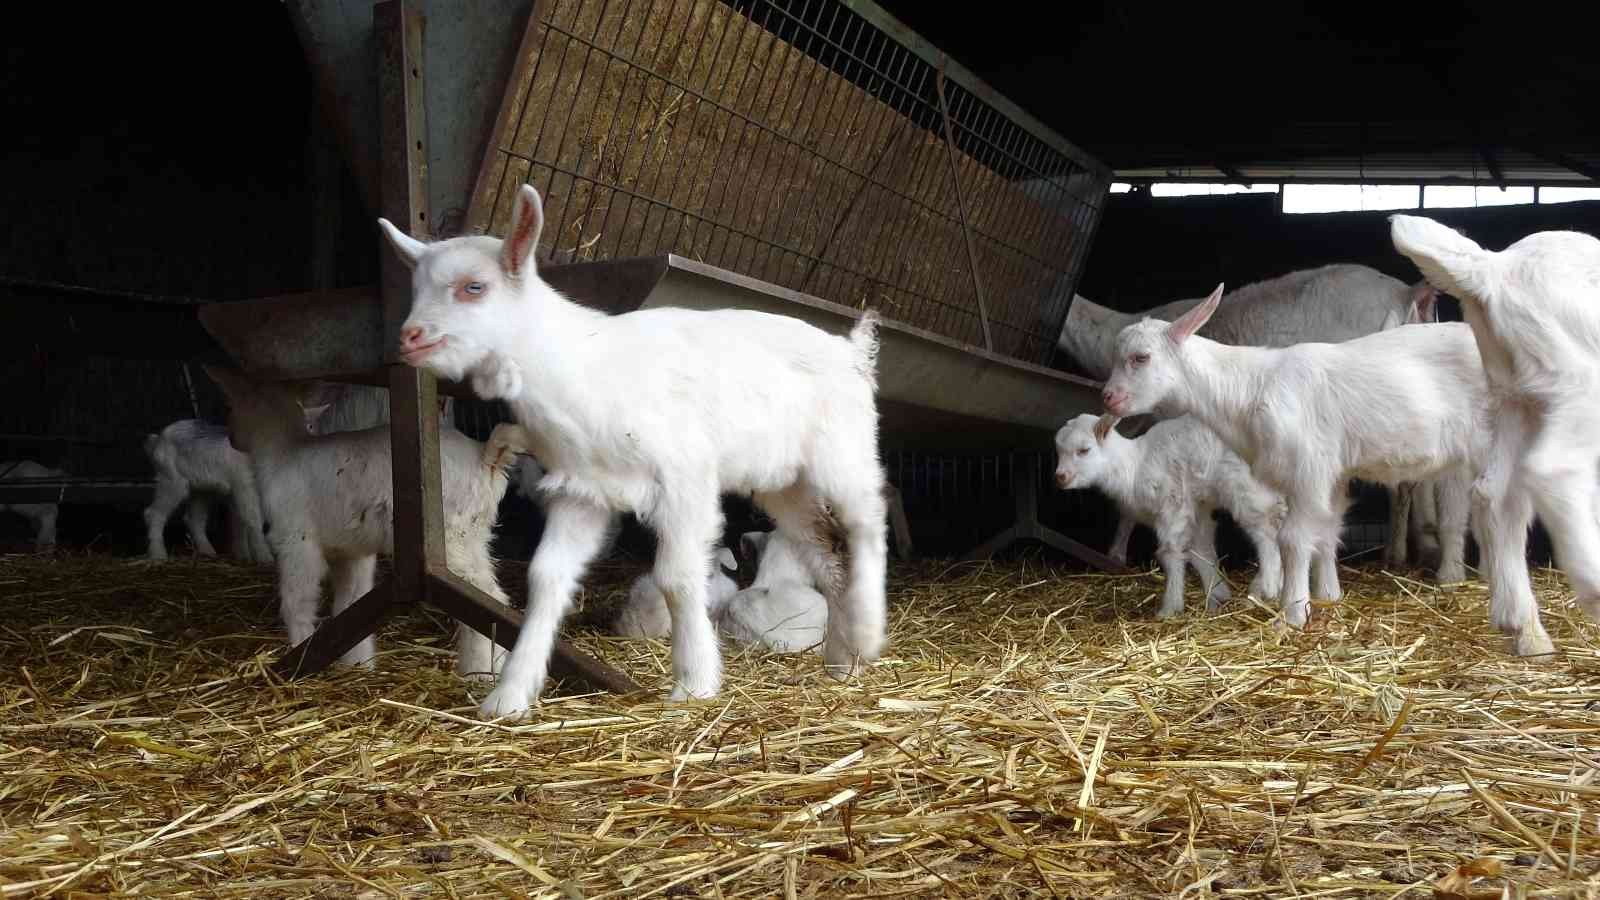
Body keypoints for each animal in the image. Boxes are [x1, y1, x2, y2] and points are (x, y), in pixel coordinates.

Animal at [1388, 216, 1600, 637]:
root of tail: (1492, 271)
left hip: (1516, 397)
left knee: (1492, 493)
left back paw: (1524, 628)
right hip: (1576, 383)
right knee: (1553, 470)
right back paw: (1591, 588)